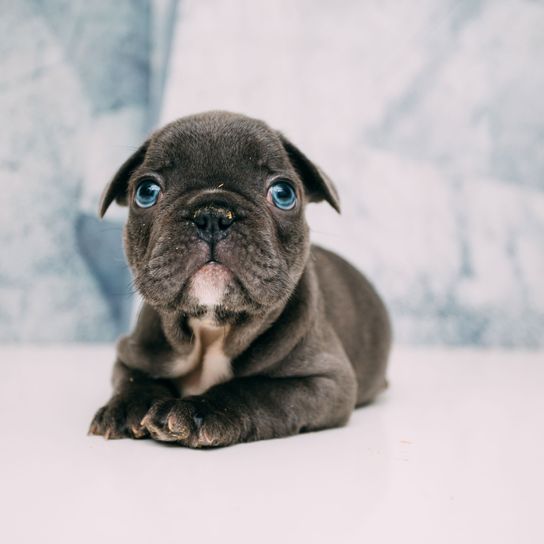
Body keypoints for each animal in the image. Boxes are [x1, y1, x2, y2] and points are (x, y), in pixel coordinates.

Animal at [91, 109, 394, 446]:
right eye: (146, 192)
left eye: (283, 193)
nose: (212, 214)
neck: (211, 327)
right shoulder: (131, 356)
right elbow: (134, 379)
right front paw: (126, 408)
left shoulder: (326, 380)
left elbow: (256, 390)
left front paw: (199, 411)